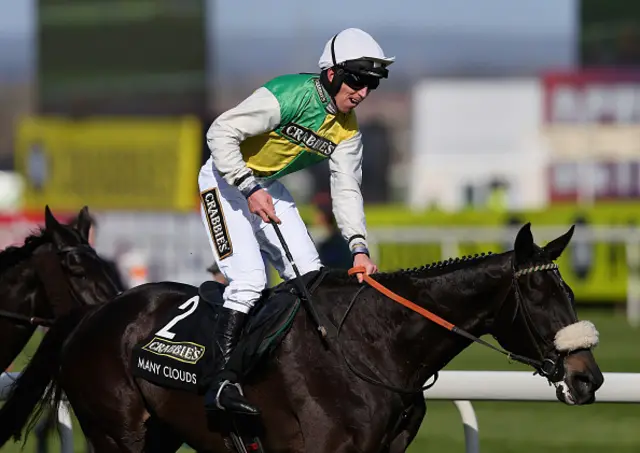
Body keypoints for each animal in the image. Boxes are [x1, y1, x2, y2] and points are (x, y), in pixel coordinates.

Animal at [0, 223, 604, 452]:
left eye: (572, 294)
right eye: (539, 298)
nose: (590, 378)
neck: (376, 346)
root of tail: (93, 314)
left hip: (162, 432)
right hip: (116, 431)